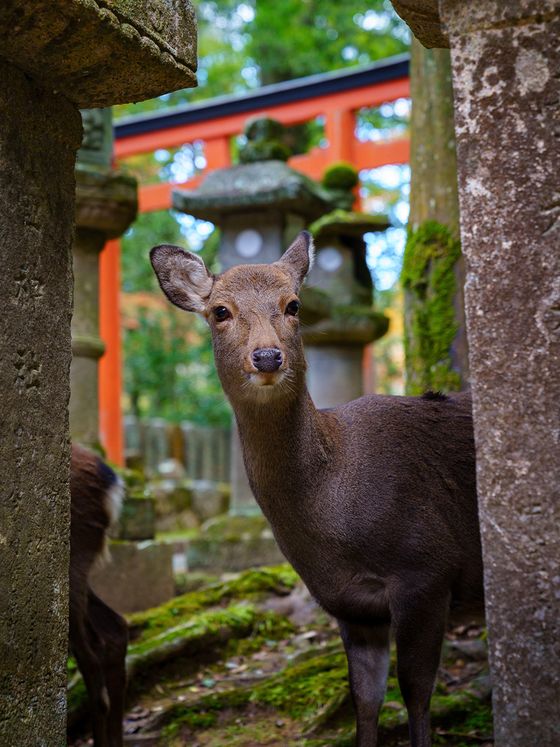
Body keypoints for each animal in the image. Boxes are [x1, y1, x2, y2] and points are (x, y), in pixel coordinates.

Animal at [150, 230, 484, 747]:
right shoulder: (350, 604)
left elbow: (416, 692)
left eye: (294, 305)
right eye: (220, 311)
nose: (267, 356)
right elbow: (364, 699)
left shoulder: (427, 568)